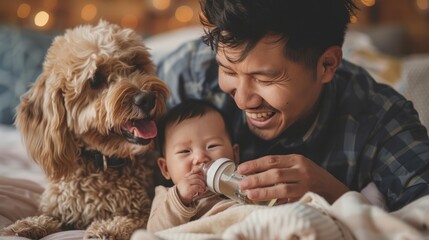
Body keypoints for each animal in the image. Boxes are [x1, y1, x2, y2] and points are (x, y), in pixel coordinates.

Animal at [0, 19, 171, 239]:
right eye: (95, 80)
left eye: (136, 64)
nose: (146, 98)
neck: (100, 161)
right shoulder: (59, 210)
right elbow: (46, 218)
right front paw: (24, 225)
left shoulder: (143, 211)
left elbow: (128, 221)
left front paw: (106, 229)